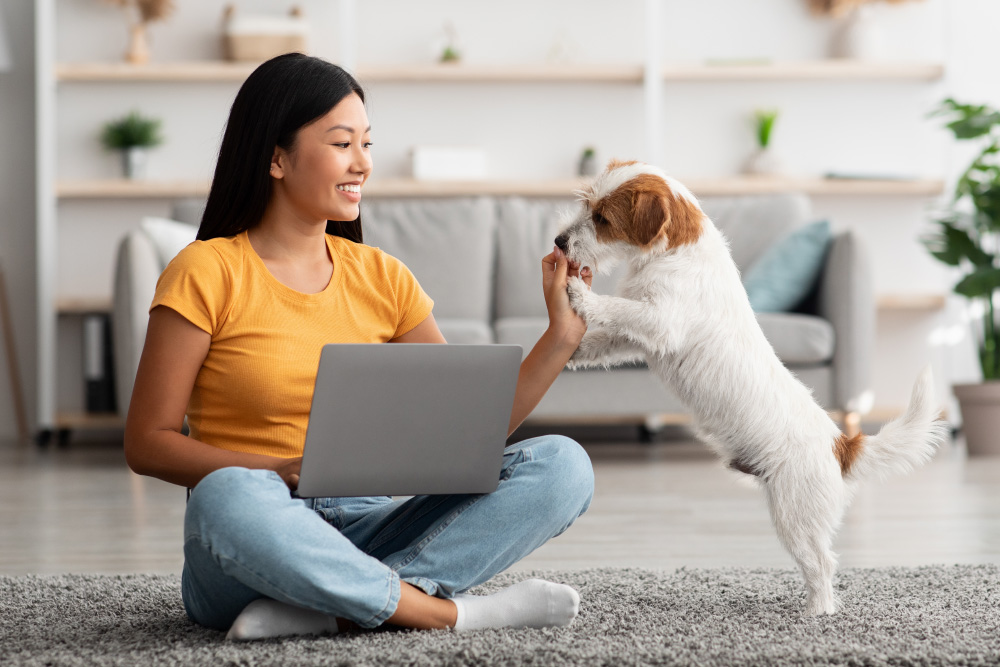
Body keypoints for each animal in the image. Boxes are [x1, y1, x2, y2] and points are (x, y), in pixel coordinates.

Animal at [560, 160, 948, 616]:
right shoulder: (637, 339)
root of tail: (841, 445)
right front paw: (572, 351)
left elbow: (614, 308)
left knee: (823, 564)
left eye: (603, 219)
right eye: (586, 205)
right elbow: (605, 340)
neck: (675, 252)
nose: (559, 241)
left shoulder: (660, 321)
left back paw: (816, 612)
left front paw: (579, 293)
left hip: (794, 516)